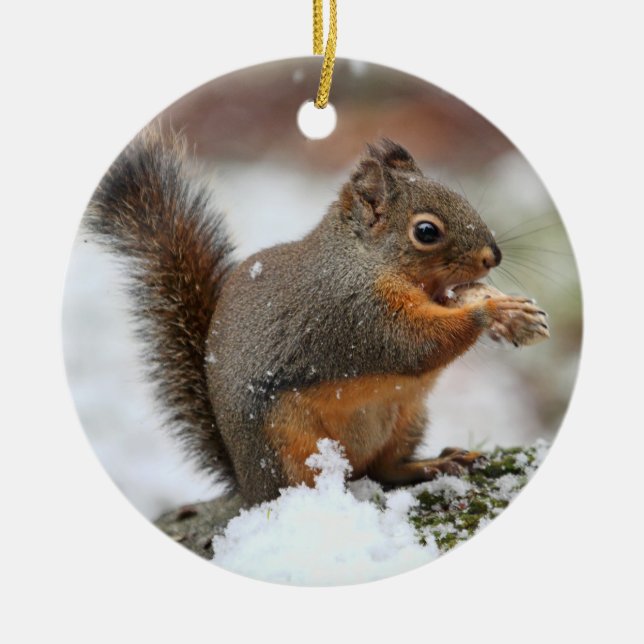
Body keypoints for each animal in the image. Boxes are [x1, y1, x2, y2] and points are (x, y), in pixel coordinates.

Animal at [85, 128, 549, 505]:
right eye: (426, 231)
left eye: (461, 198)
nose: (493, 257)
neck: (363, 259)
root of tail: (248, 487)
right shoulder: (355, 311)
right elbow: (412, 344)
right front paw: (492, 310)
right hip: (291, 444)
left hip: (407, 417)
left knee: (385, 469)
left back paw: (431, 464)